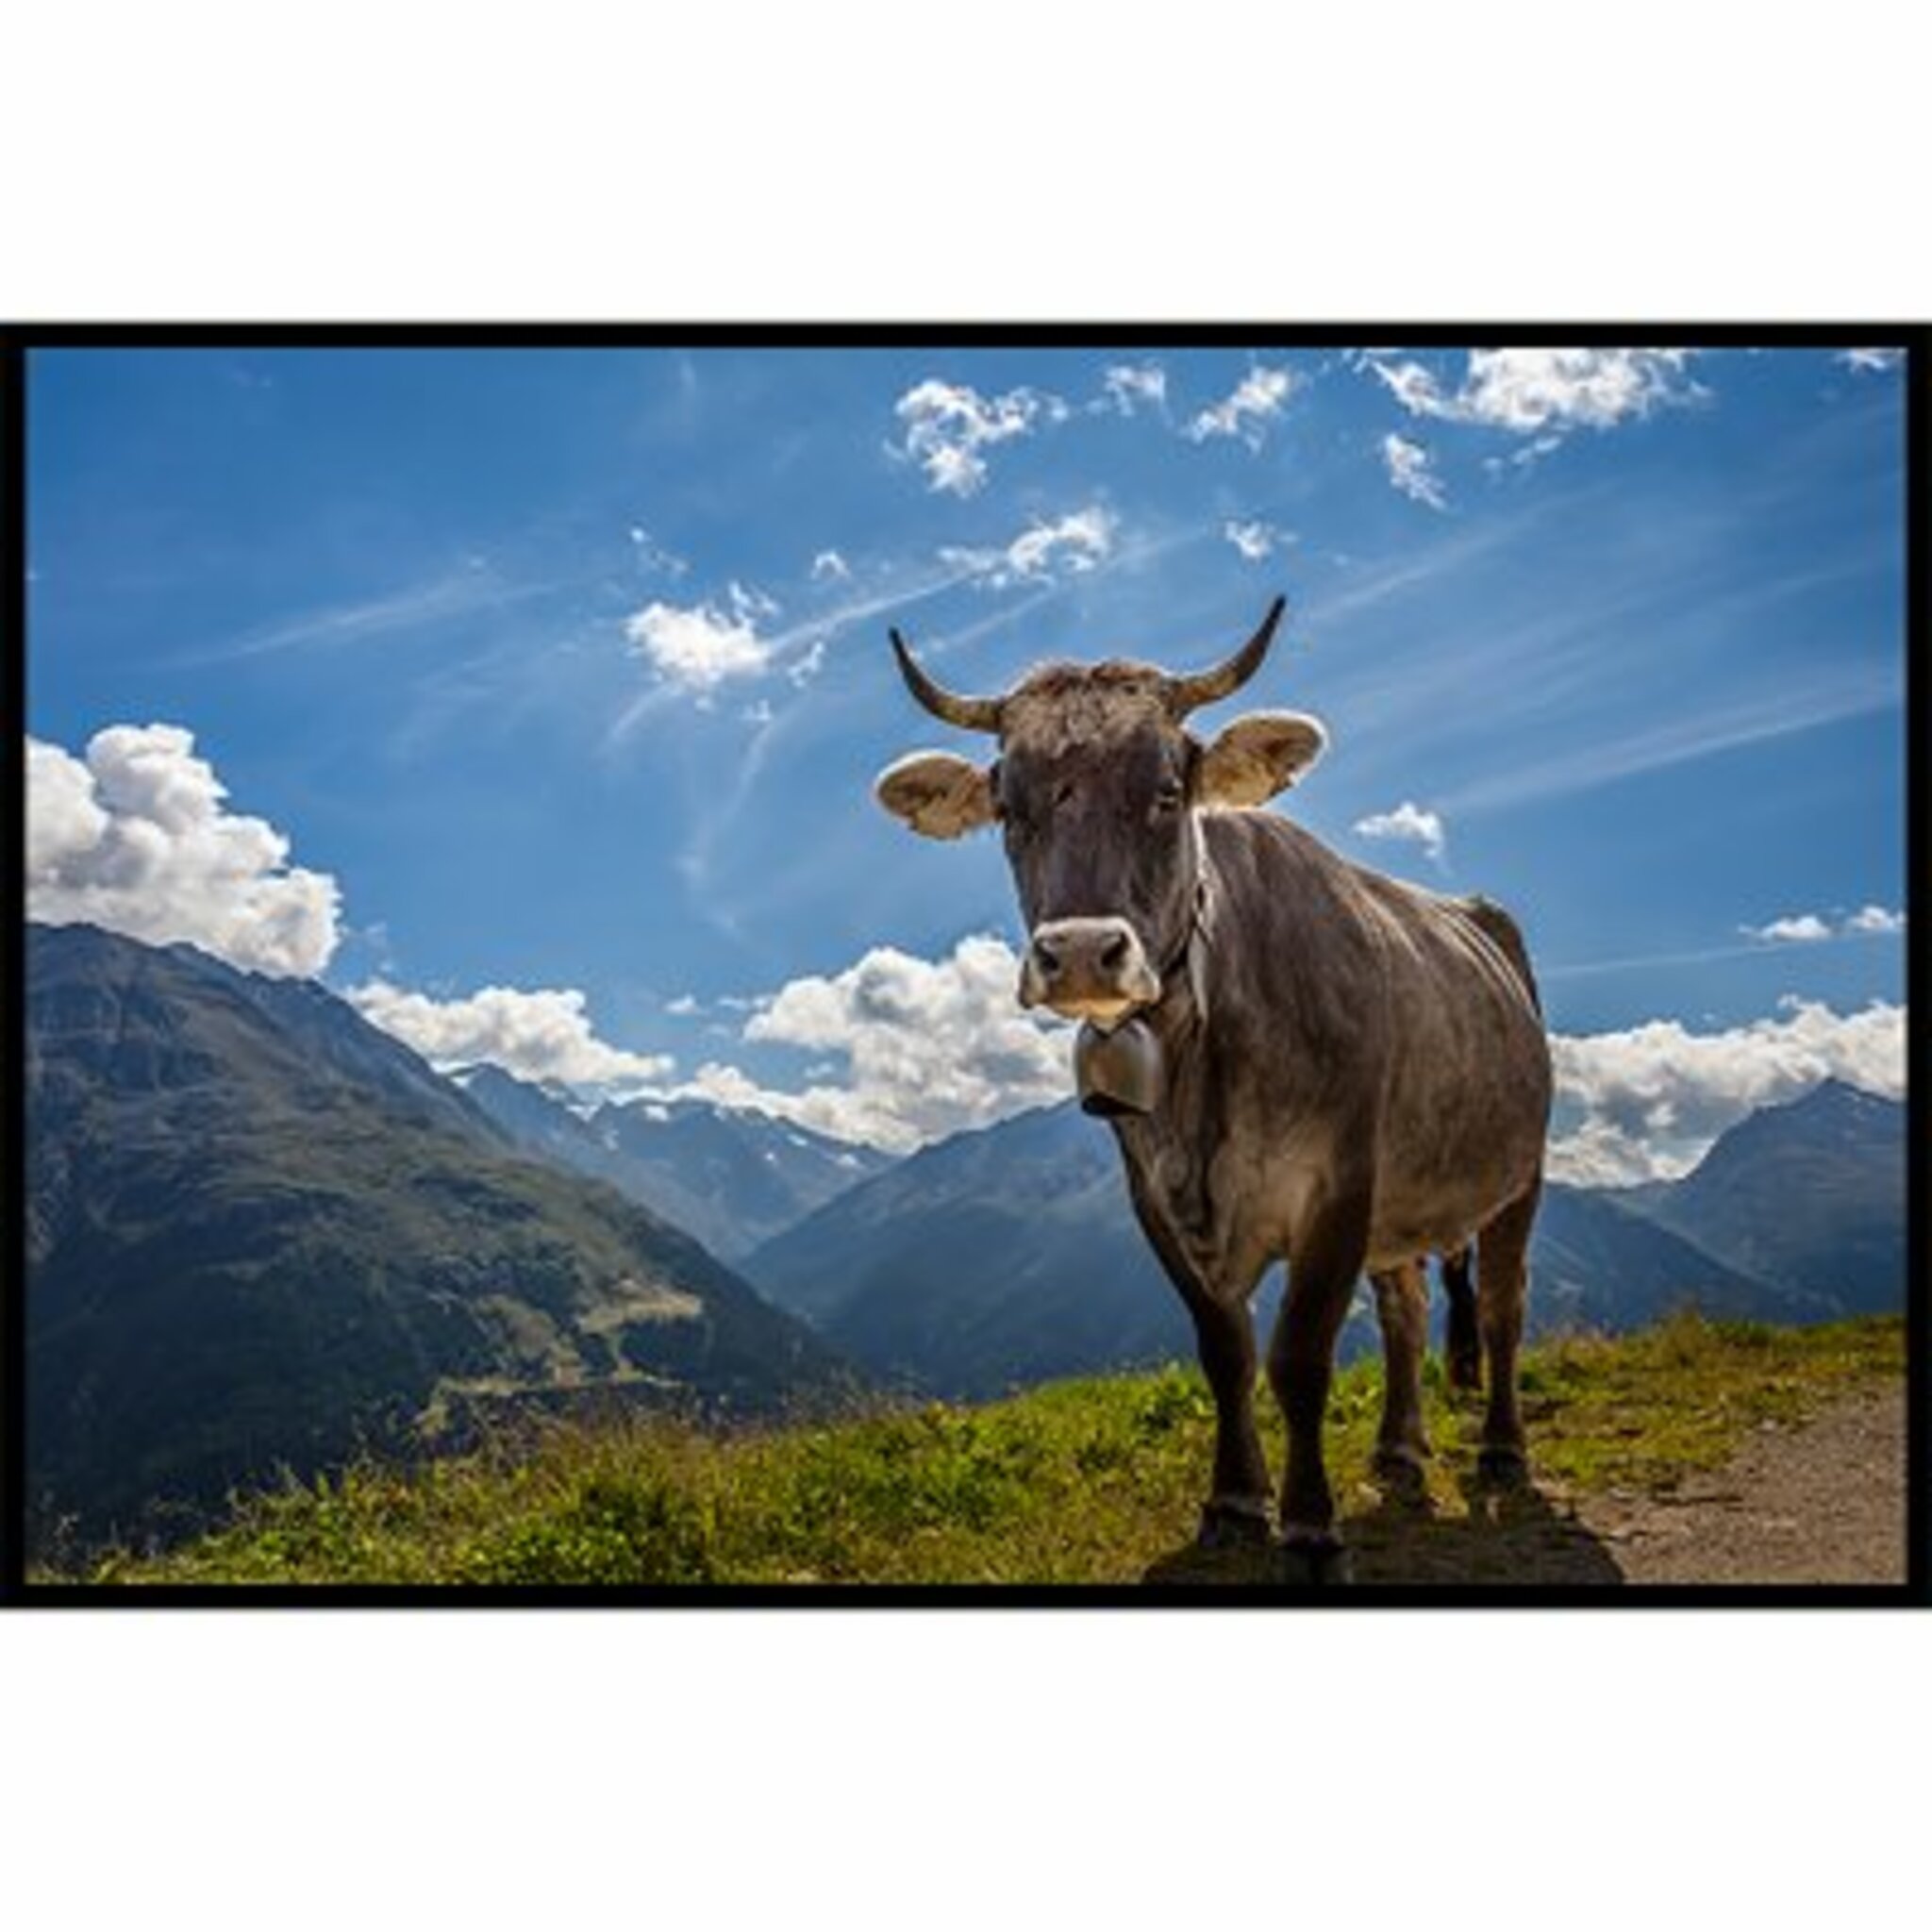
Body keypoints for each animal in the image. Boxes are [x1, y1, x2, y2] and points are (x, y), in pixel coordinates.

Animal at [874, 596, 1552, 1582]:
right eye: (1007, 805)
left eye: (1168, 792)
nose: (1081, 952)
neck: (1199, 1070)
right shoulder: (1153, 1197)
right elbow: (1224, 1351)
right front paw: (1235, 1501)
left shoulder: (1340, 1185)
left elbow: (1298, 1357)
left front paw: (1310, 1528)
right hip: (1403, 1210)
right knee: (1408, 1309)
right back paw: (1398, 1450)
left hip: (1519, 1176)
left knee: (1500, 1306)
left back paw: (1501, 1450)